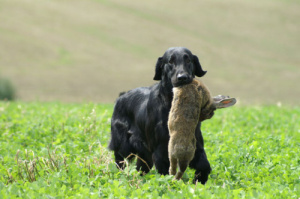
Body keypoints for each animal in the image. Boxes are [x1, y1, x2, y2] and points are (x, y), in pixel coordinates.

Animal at [109, 47, 212, 184]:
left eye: (188, 60)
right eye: (170, 61)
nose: (182, 78)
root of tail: (121, 96)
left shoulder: (195, 145)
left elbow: (204, 165)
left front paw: (199, 181)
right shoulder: (160, 150)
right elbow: (165, 174)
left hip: (144, 155)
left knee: (140, 168)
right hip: (122, 146)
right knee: (120, 164)